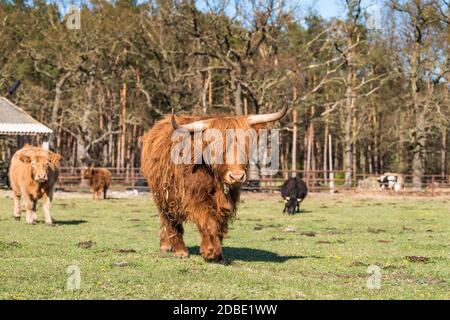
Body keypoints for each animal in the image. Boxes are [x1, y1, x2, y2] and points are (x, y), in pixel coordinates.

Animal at [141, 107, 286, 262]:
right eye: (217, 148)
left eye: (246, 145)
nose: (236, 176)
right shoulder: (196, 199)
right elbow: (208, 221)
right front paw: (210, 252)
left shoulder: (226, 201)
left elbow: (219, 223)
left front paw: (219, 255)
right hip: (165, 195)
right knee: (170, 221)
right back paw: (180, 251)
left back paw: (166, 245)